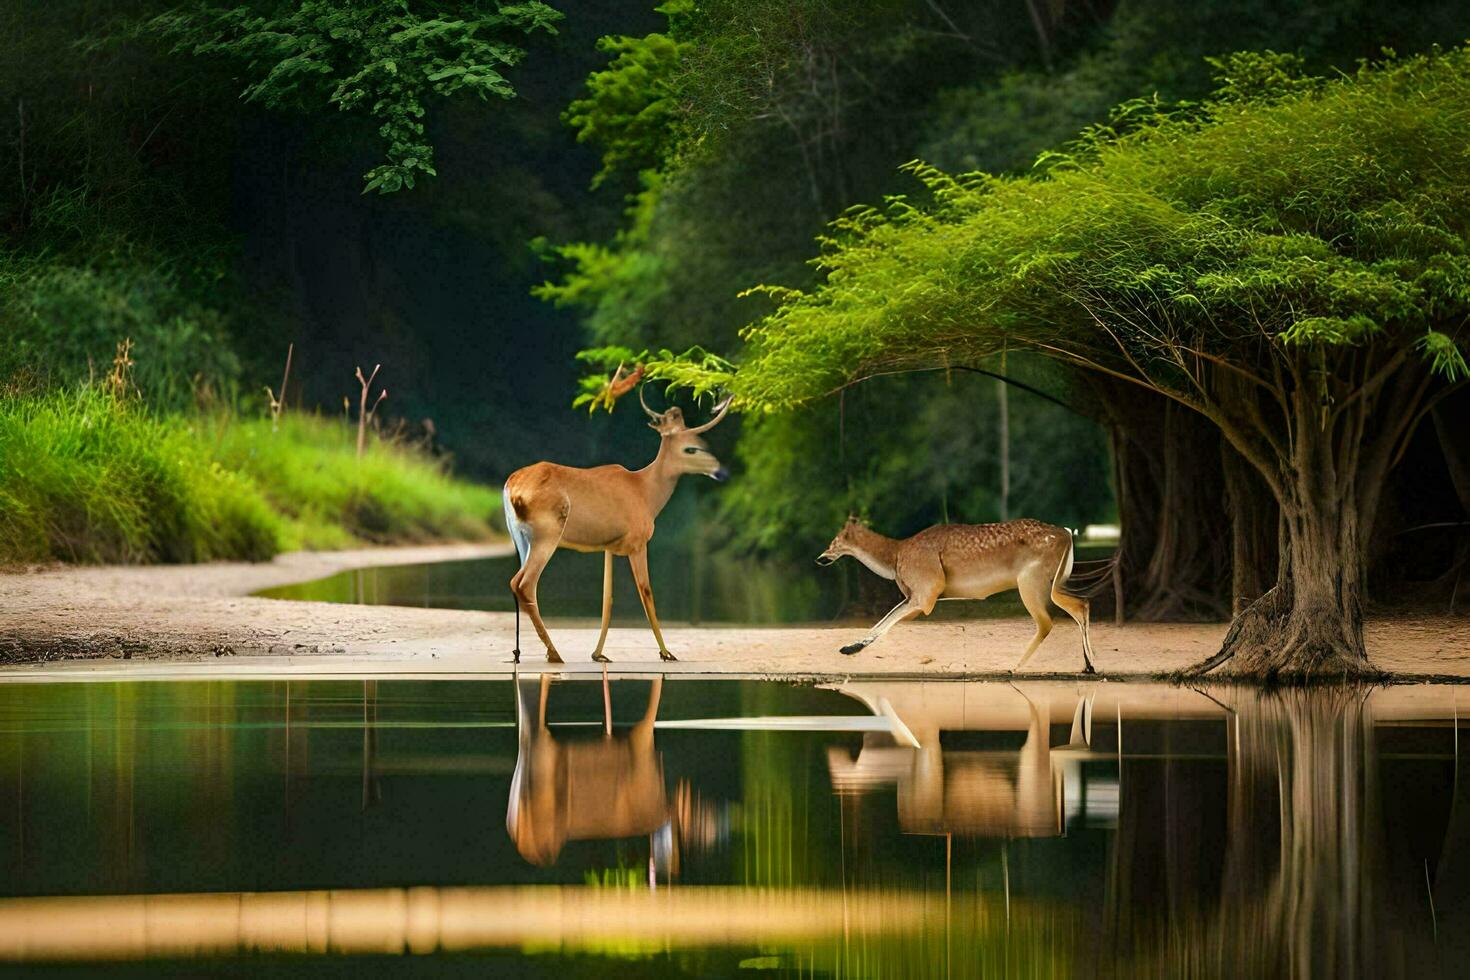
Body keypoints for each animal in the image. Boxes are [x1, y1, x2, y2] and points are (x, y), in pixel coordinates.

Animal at [502, 387, 732, 664]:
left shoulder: (609, 547)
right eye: (691, 449)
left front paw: (598, 654)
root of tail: (512, 486)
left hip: (520, 538)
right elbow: (646, 592)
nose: (722, 472)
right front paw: (666, 653)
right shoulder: (638, 543)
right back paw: (554, 653)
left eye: (704, 444)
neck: (645, 492)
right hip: (547, 535)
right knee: (525, 584)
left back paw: (521, 654)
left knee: (516, 583)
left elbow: (607, 598)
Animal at [817, 520, 1093, 675]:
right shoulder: (918, 596)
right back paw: (1089, 666)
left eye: (835, 540)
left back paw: (1013, 666)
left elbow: (887, 620)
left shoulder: (927, 593)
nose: (820, 557)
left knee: (1048, 621)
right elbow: (884, 619)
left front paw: (849, 648)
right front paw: (849, 647)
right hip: (1053, 582)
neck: (894, 557)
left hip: (1031, 581)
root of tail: (1067, 534)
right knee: (1081, 605)